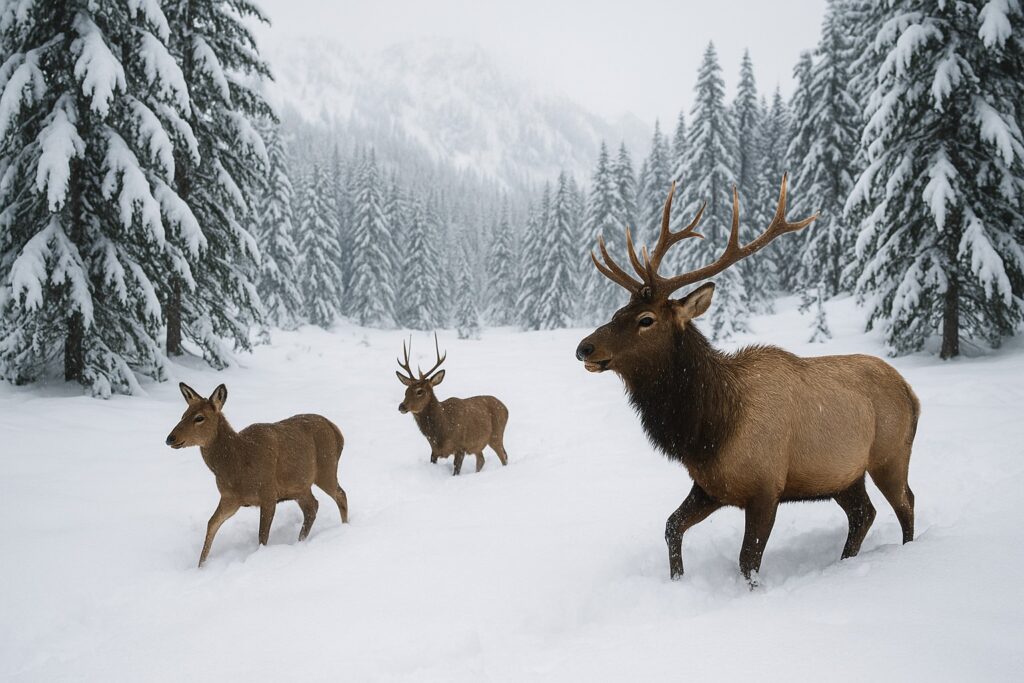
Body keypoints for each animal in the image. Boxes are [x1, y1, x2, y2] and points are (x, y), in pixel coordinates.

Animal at [165, 383, 349, 567]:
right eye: (183, 415)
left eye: (199, 418)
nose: (170, 438)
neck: (236, 465)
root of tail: (337, 431)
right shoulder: (230, 498)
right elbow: (211, 524)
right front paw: (200, 566)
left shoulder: (268, 493)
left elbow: (262, 537)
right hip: (300, 486)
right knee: (312, 506)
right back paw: (301, 540)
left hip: (326, 468)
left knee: (340, 494)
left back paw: (344, 527)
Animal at [395, 334, 510, 476]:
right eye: (406, 390)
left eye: (420, 391)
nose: (401, 406)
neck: (440, 432)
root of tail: (506, 408)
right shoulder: (434, 451)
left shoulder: (461, 446)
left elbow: (456, 471)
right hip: (478, 444)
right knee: (481, 460)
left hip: (496, 435)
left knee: (504, 456)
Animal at [576, 176, 919, 586]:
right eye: (616, 312)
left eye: (646, 319)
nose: (583, 347)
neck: (708, 429)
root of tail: (911, 393)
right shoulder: (711, 486)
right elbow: (672, 526)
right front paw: (677, 580)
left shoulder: (765, 488)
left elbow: (748, 562)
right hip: (843, 475)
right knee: (863, 513)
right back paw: (844, 562)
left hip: (890, 454)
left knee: (906, 502)